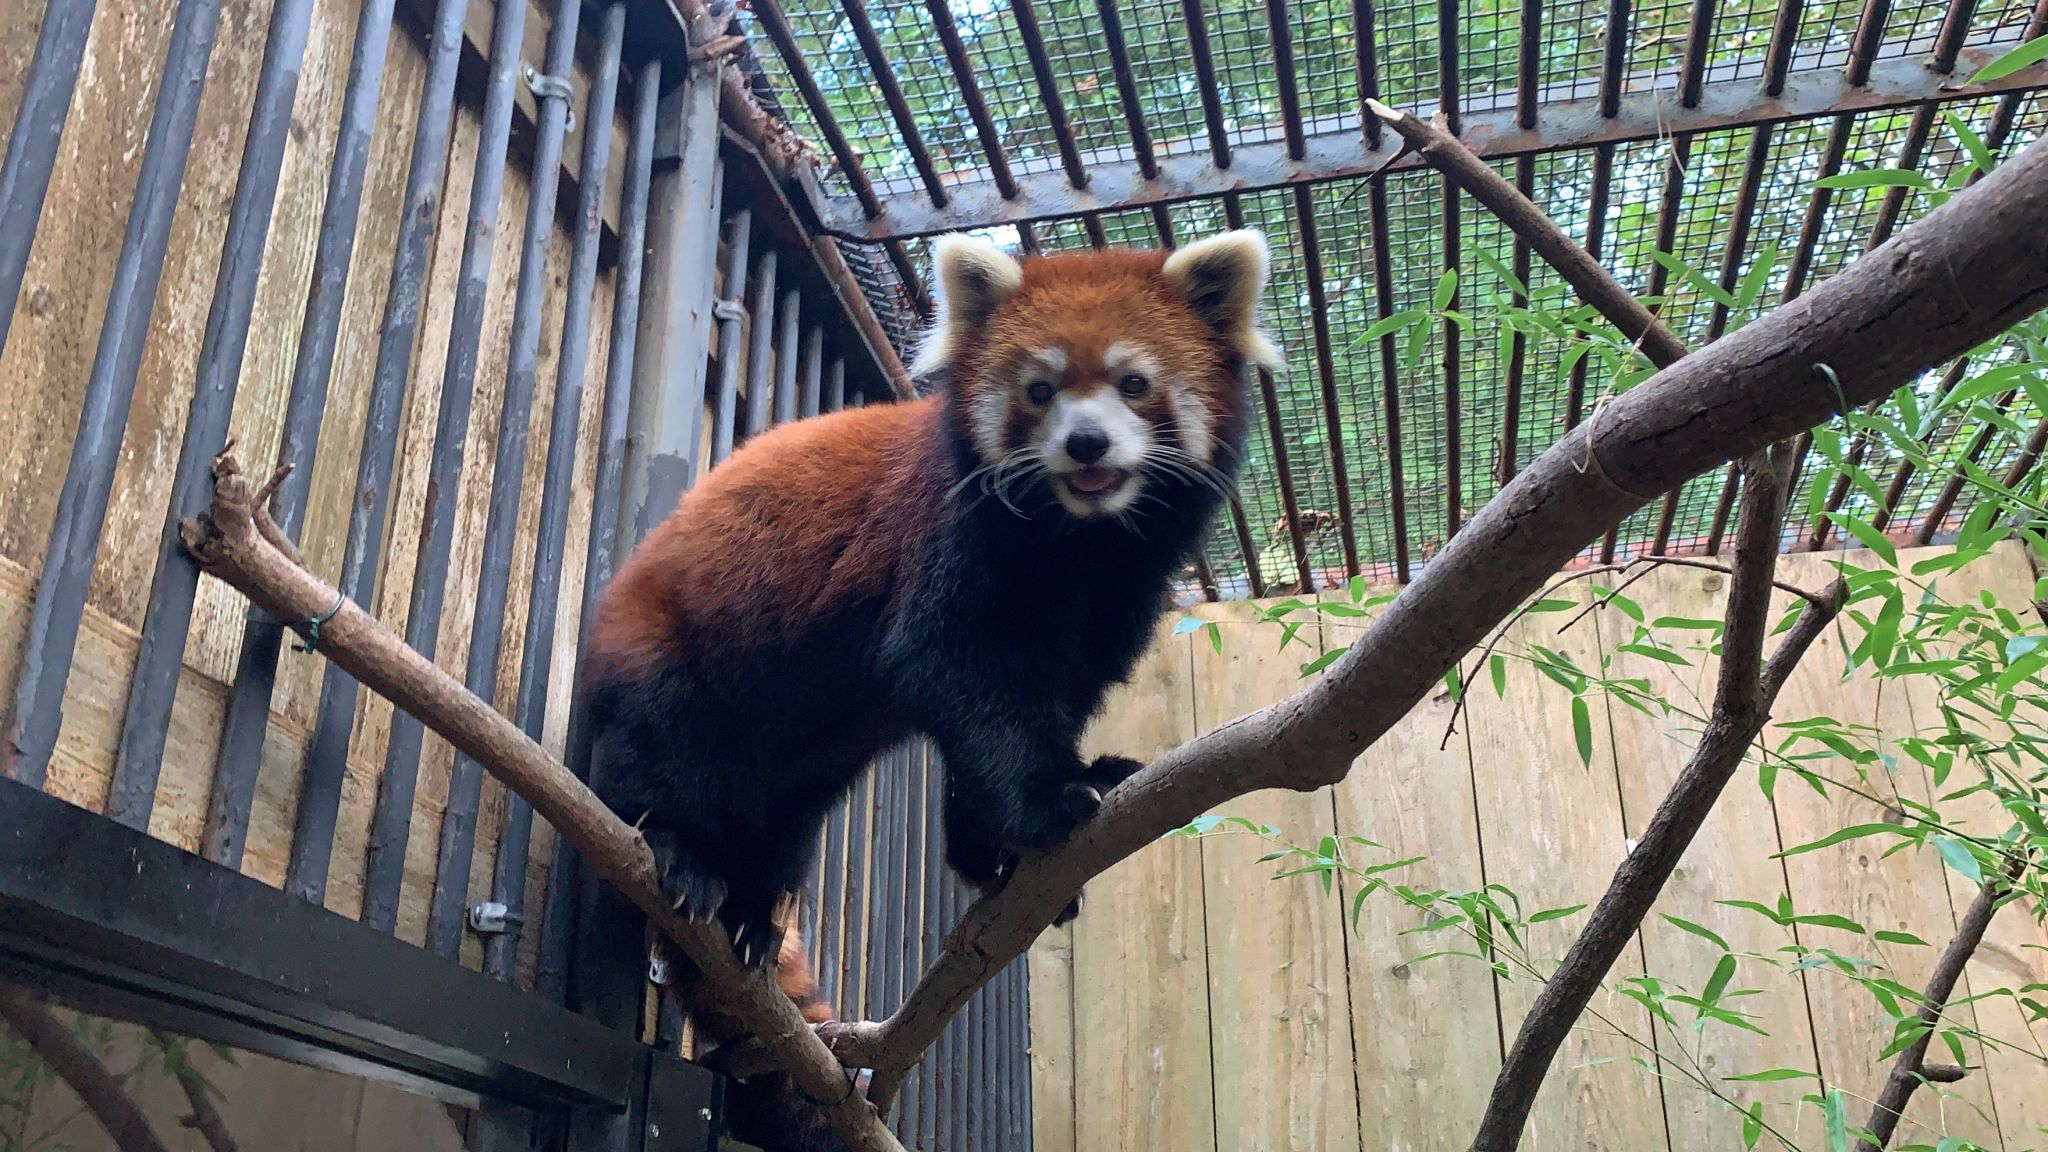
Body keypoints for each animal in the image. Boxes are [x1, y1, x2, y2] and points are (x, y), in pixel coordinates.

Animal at [581, 228, 1277, 963]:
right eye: (1040, 390)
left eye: (1134, 383)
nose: (1086, 442)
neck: (1077, 545)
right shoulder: (947, 547)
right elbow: (967, 687)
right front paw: (1049, 801)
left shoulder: (1114, 602)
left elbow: (1040, 705)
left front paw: (997, 848)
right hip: (666, 654)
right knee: (656, 755)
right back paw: (674, 853)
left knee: (781, 821)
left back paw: (751, 915)